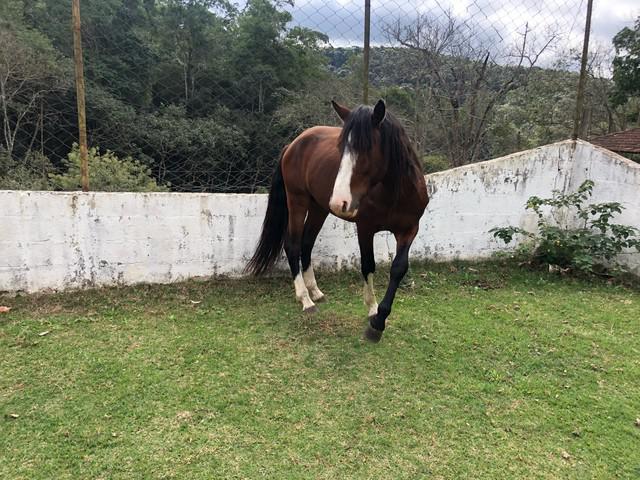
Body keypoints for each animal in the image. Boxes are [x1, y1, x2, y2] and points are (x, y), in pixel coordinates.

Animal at [248, 100, 428, 342]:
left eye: (367, 148)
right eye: (341, 148)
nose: (339, 201)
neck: (395, 192)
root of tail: (293, 144)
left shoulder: (409, 230)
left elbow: (398, 268)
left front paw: (380, 320)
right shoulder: (365, 228)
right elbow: (368, 265)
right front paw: (373, 312)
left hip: (318, 208)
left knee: (306, 243)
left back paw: (315, 291)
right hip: (297, 201)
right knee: (293, 245)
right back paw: (305, 299)